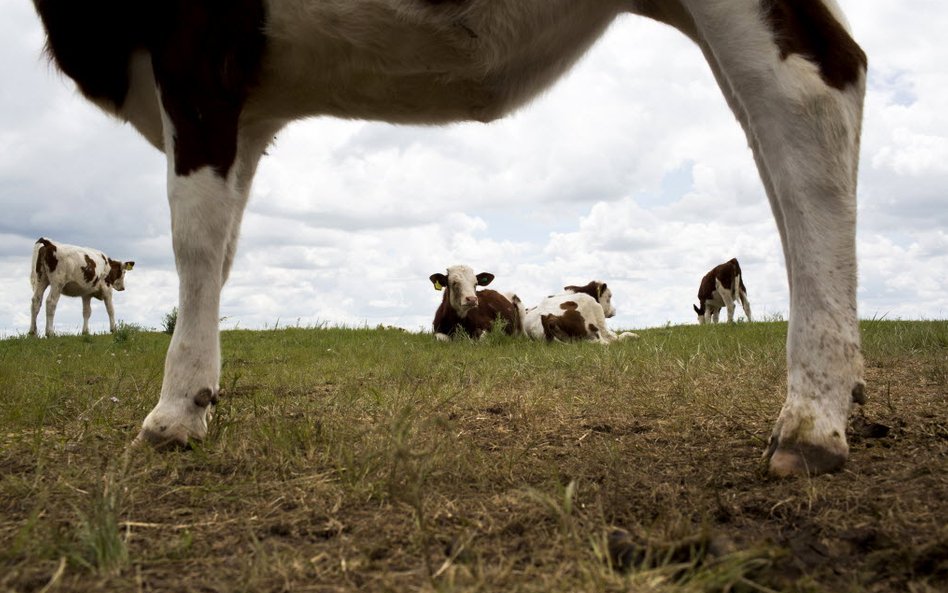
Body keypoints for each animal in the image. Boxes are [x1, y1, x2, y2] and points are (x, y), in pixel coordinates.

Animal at [33, 0, 872, 474]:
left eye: (476, 282)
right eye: (451, 280)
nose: (471, 304)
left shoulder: (200, 47)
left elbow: (197, 240)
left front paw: (177, 409)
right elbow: (224, 236)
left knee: (806, 97)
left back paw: (810, 418)